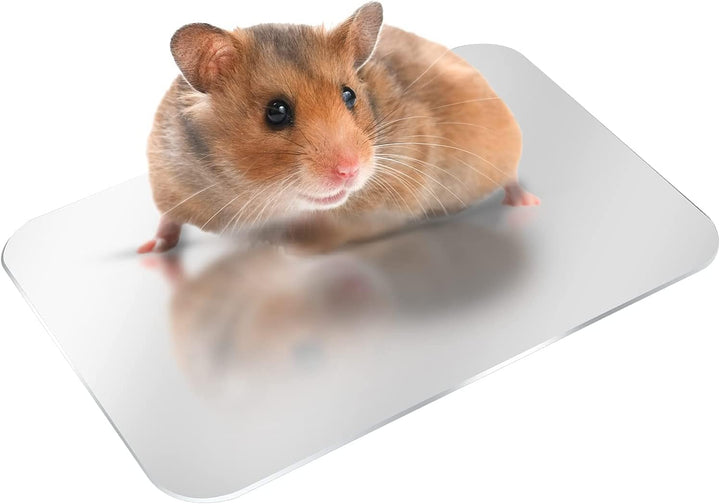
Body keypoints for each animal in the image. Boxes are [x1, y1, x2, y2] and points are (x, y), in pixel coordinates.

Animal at [139, 2, 539, 253]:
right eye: (276, 112)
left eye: (349, 95)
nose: (350, 171)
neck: (267, 198)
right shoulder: (170, 180)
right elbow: (168, 220)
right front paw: (150, 248)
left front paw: (288, 246)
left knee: (512, 177)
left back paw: (527, 201)